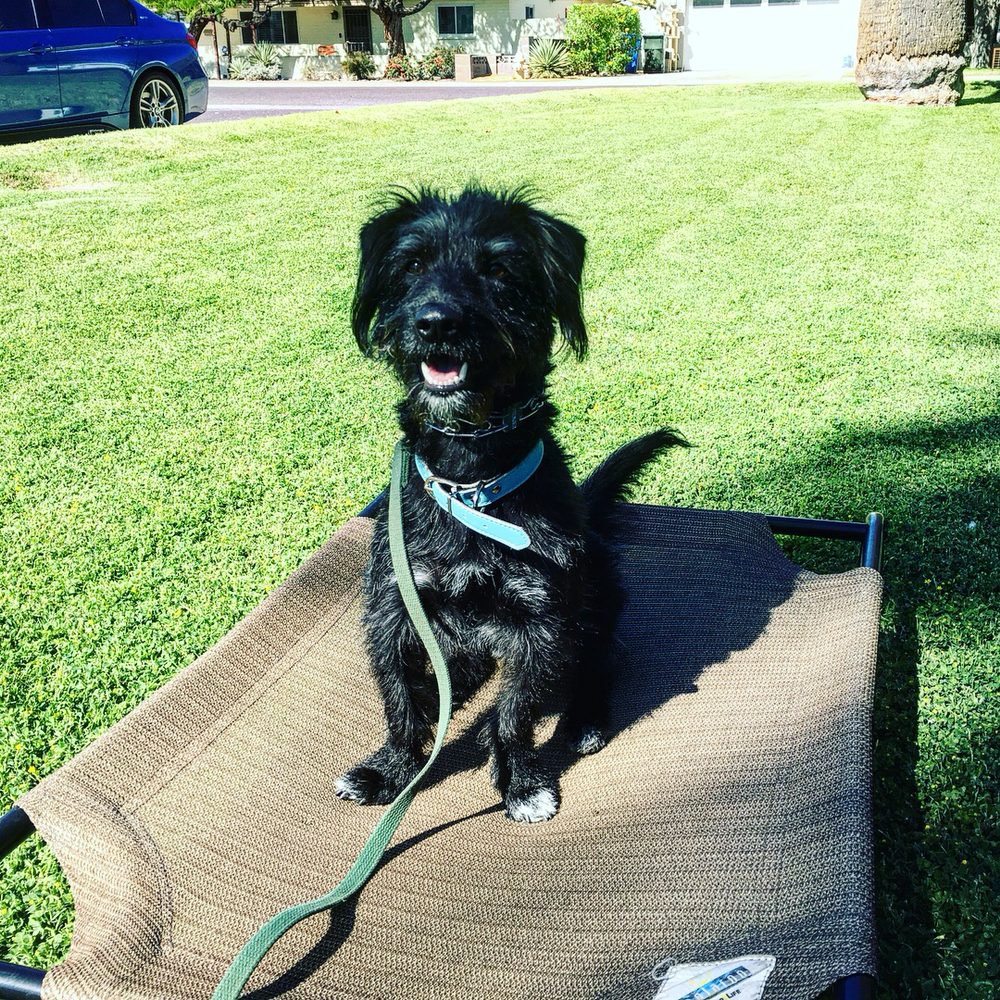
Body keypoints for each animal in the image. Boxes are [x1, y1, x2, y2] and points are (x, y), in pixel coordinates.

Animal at [335, 186, 683, 823]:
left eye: (499, 271)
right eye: (411, 265)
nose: (436, 322)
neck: (469, 480)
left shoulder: (541, 620)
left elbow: (514, 712)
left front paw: (520, 781)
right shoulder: (395, 606)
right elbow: (399, 701)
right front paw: (392, 770)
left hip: (596, 594)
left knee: (598, 661)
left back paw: (584, 719)